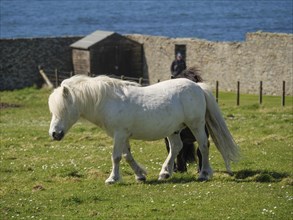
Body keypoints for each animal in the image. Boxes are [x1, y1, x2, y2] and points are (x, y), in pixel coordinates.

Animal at [48, 75, 240, 183]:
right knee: (176, 147)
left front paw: (112, 178)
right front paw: (140, 175)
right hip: (173, 130)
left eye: (63, 110)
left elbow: (116, 157)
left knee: (203, 146)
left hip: (196, 125)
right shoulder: (122, 136)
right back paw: (165, 173)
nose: (54, 134)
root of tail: (198, 86)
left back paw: (204, 174)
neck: (108, 101)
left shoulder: (119, 134)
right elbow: (127, 156)